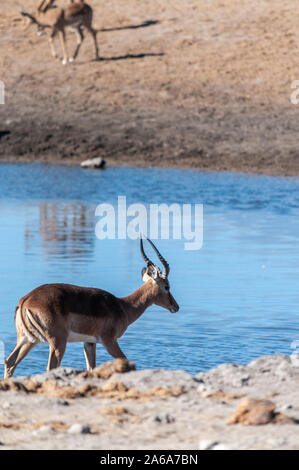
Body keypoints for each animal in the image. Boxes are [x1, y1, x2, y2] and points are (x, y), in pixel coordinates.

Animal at [4, 235, 180, 378]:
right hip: (57, 342)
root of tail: (25, 300)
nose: (176, 307)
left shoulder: (89, 343)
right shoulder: (109, 341)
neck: (123, 307)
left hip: (28, 339)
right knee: (49, 368)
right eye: (167, 286)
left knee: (9, 362)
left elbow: (91, 368)